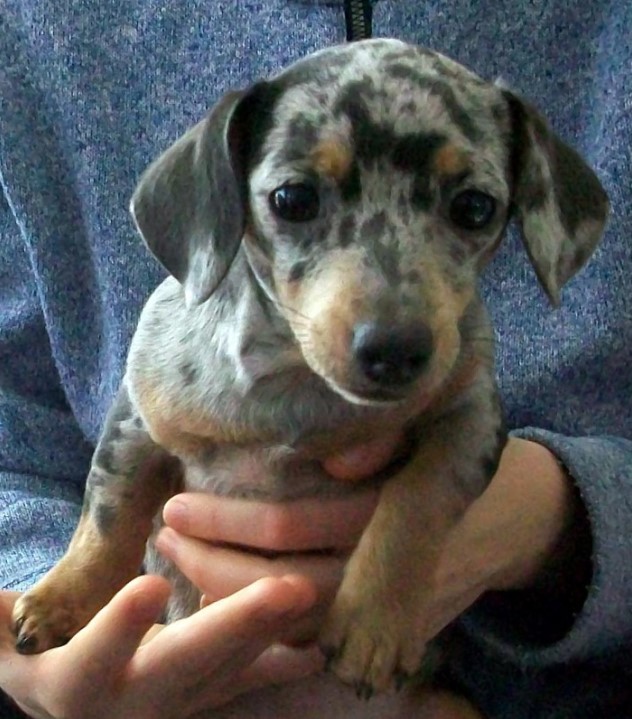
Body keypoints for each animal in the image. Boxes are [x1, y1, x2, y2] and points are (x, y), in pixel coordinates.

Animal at [13, 39, 608, 696]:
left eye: (475, 207)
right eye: (292, 198)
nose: (394, 348)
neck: (298, 387)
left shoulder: (471, 412)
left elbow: (419, 502)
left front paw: (373, 624)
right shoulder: (138, 417)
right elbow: (109, 516)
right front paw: (63, 601)